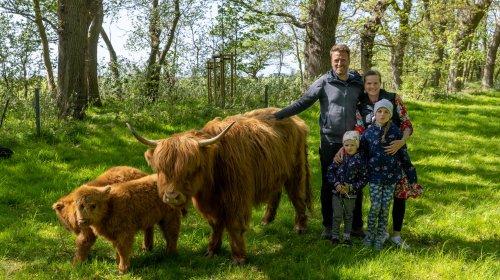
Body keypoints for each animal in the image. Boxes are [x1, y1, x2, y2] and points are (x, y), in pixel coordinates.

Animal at [127, 107, 310, 264]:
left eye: (193, 168)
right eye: (160, 169)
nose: (172, 197)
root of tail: (296, 120)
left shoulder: (237, 199)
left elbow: (234, 226)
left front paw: (239, 258)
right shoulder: (210, 204)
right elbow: (215, 224)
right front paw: (212, 250)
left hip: (296, 170)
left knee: (297, 196)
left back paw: (300, 227)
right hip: (275, 172)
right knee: (275, 192)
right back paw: (266, 220)